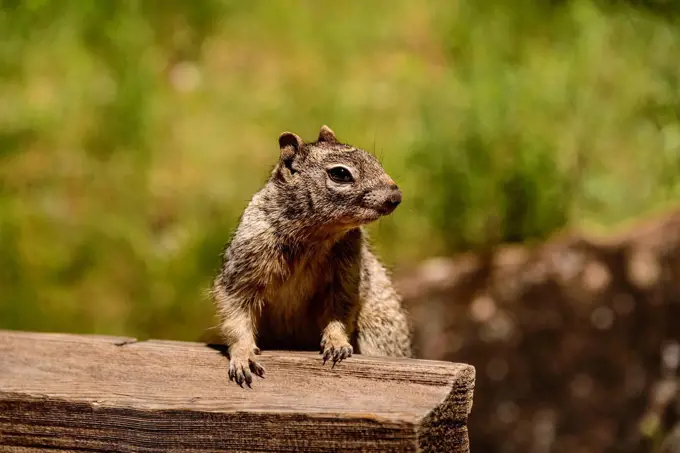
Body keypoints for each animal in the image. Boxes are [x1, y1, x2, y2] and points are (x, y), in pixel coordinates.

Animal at [212, 125, 412, 386]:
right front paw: (243, 356)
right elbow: (236, 313)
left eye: (374, 160)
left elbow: (340, 309)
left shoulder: (347, 272)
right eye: (340, 174)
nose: (396, 197)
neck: (315, 236)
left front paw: (336, 343)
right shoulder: (244, 266)